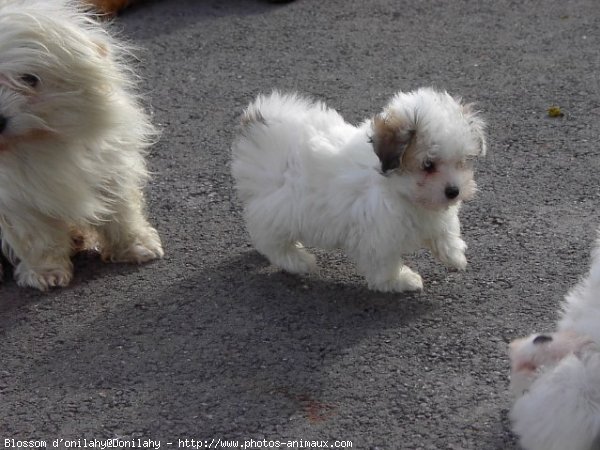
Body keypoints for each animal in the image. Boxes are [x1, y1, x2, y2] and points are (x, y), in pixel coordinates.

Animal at [0, 0, 163, 290]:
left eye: (29, 79)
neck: (37, 142)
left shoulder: (107, 167)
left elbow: (121, 211)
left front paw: (135, 246)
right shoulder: (15, 201)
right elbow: (37, 237)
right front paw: (47, 271)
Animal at [231, 89, 488, 292]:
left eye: (461, 162)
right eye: (428, 165)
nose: (453, 191)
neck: (398, 189)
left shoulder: (430, 214)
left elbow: (444, 230)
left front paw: (454, 256)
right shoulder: (378, 234)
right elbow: (383, 263)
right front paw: (400, 280)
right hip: (281, 208)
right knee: (270, 239)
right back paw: (297, 260)